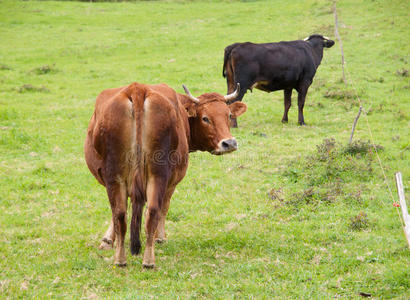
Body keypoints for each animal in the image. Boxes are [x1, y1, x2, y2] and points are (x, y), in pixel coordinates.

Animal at [81, 81, 245, 268]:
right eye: (205, 118)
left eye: (229, 115)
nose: (229, 143)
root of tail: (137, 89)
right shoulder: (172, 180)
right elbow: (164, 207)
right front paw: (160, 237)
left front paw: (108, 239)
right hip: (157, 175)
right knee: (153, 210)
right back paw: (148, 258)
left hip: (119, 176)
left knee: (123, 213)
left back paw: (124, 259)